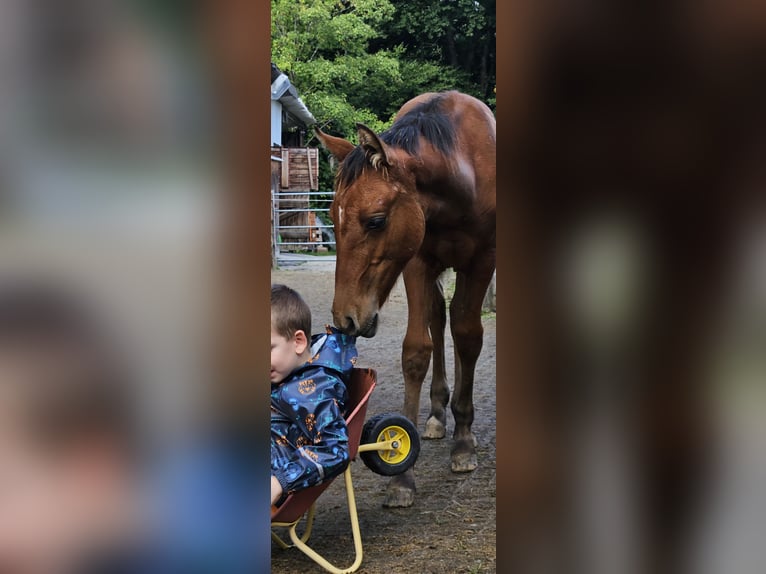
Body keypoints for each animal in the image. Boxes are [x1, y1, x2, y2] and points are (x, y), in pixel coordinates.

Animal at [315, 91, 496, 507]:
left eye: (376, 220)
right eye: (333, 215)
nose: (345, 319)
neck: (460, 170)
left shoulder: (482, 261)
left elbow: (469, 336)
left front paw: (464, 443)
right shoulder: (417, 261)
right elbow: (417, 350)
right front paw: (401, 474)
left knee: (459, 327)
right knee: (439, 319)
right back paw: (437, 414)